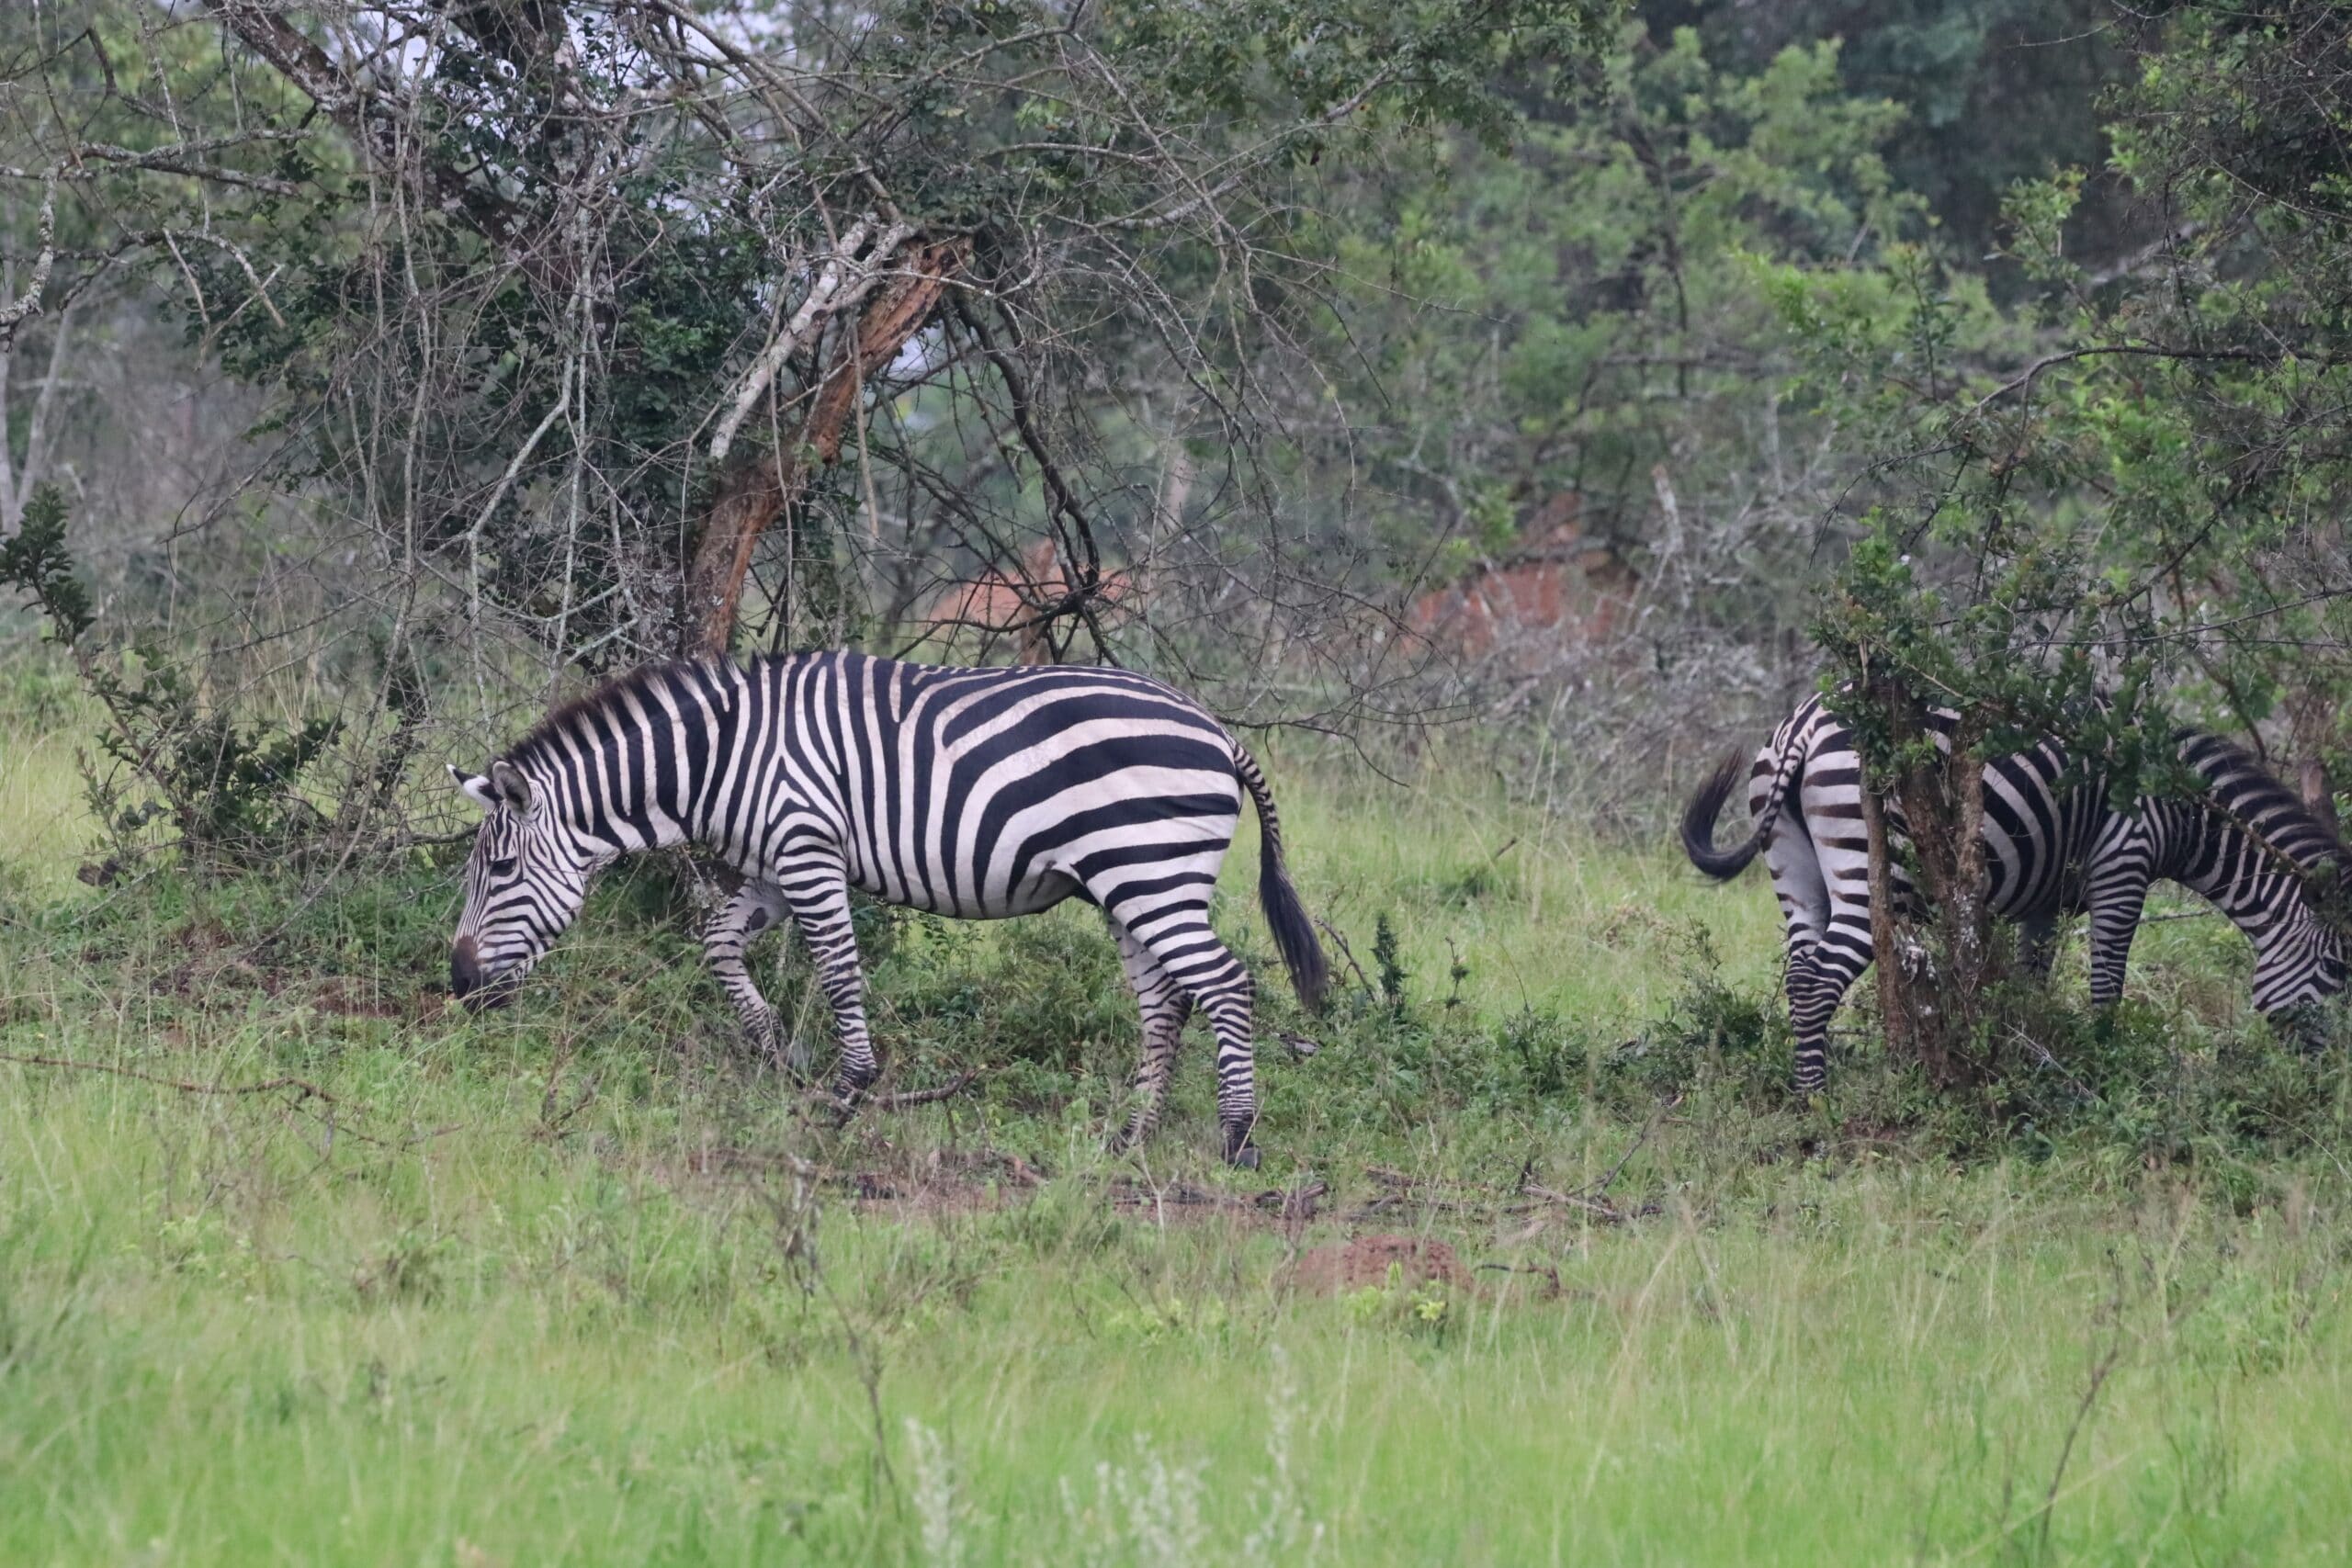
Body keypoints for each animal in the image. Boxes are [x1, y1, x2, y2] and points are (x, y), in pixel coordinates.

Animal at [442, 649, 1326, 1166]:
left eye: (502, 867)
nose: (459, 985)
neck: (720, 757)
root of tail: (1216, 729)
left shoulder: (807, 847)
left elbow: (838, 971)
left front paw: (848, 1095)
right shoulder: (772, 868)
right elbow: (717, 944)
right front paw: (779, 1050)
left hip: (1150, 871)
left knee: (1227, 984)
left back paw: (1237, 1138)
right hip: (1127, 883)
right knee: (1165, 1002)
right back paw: (1130, 1138)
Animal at [1683, 691, 2342, 1086]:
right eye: (2340, 969)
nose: (2332, 1083)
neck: (2173, 804)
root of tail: (1803, 725)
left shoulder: (2043, 899)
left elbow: (2031, 982)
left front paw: (2031, 1055)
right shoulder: (2123, 862)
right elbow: (2107, 985)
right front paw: (2107, 1064)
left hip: (1793, 868)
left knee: (1799, 974)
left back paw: (1805, 1089)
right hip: (1871, 868)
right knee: (1820, 979)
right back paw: (1819, 1096)